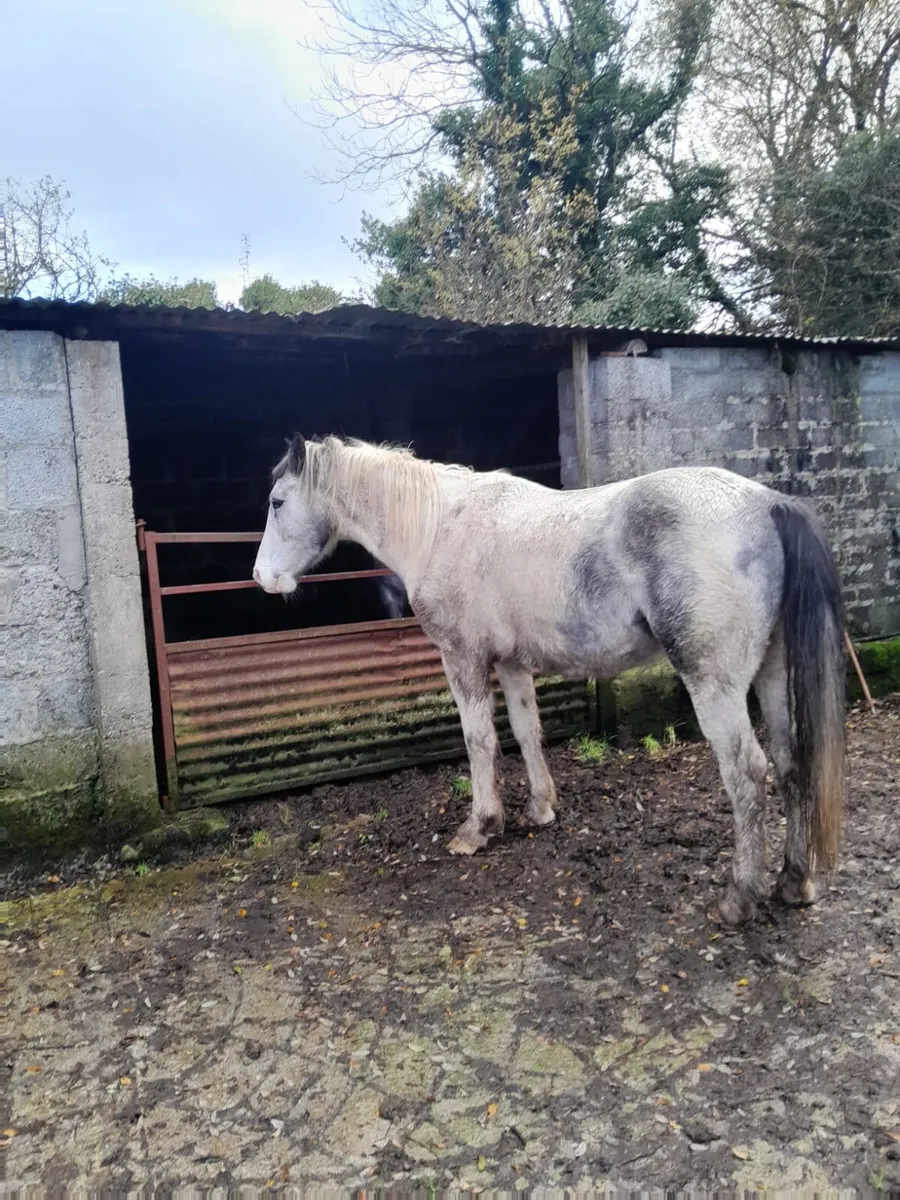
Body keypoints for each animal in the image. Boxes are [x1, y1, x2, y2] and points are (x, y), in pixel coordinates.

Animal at [252, 434, 845, 927]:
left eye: (277, 502)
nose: (261, 578)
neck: (440, 525)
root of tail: (767, 503)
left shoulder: (463, 659)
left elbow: (479, 741)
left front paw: (479, 828)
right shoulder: (512, 663)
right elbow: (525, 731)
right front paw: (540, 809)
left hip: (715, 682)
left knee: (746, 773)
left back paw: (739, 899)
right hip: (772, 674)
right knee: (791, 761)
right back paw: (795, 882)